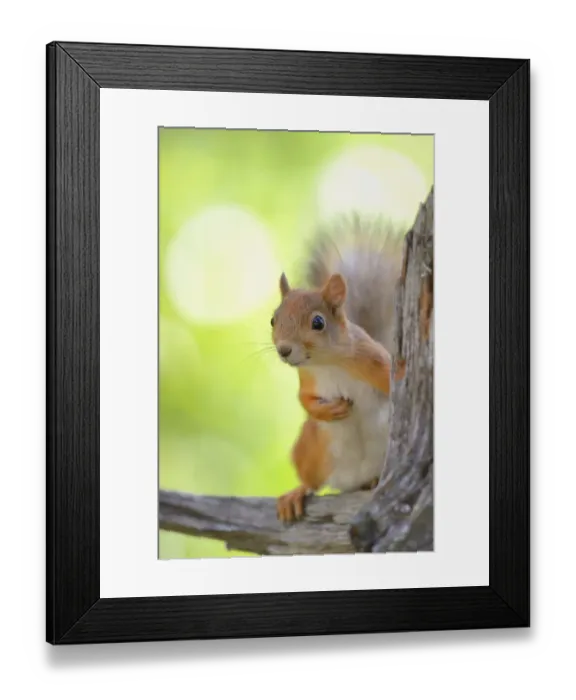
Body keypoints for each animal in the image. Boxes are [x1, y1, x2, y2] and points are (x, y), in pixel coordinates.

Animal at [271, 216, 405, 523]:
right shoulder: (307, 379)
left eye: (318, 322)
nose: (284, 350)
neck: (327, 363)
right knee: (311, 481)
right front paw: (329, 410)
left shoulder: (373, 360)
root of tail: (351, 480)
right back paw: (296, 494)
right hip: (311, 448)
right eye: (273, 319)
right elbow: (305, 400)